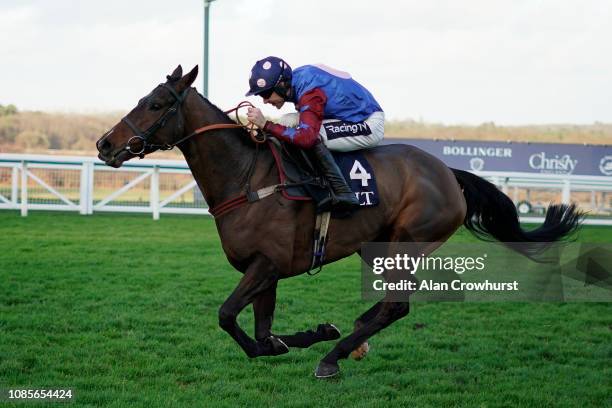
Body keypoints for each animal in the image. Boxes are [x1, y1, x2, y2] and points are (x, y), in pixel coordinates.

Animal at [95, 65, 584, 378]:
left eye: (156, 103)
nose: (104, 144)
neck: (247, 178)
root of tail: (447, 172)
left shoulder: (267, 264)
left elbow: (228, 317)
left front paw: (308, 340)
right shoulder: (264, 270)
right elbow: (262, 333)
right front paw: (308, 333)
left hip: (407, 244)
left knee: (396, 305)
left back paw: (335, 356)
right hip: (378, 247)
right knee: (388, 306)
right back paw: (353, 338)